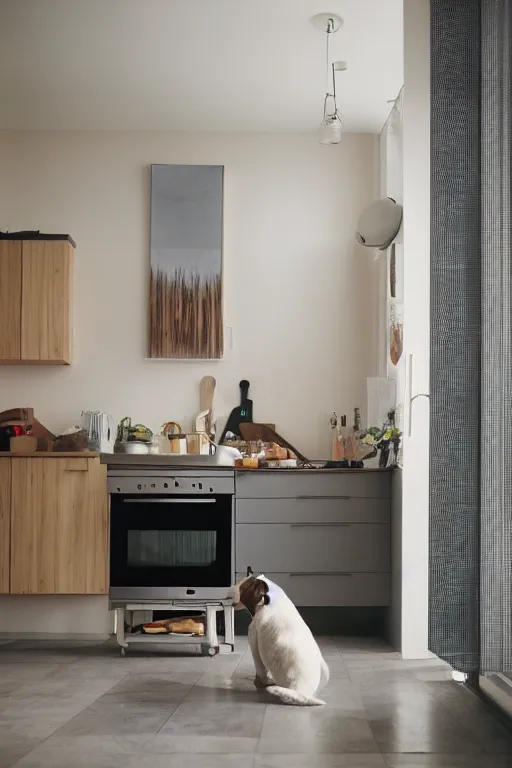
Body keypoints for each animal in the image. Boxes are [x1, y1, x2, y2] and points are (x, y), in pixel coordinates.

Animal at [234, 572, 330, 704]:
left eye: (242, 586)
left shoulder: (253, 641)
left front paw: (259, 681)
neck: (271, 599)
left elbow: (260, 669)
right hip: (325, 670)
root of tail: (304, 693)